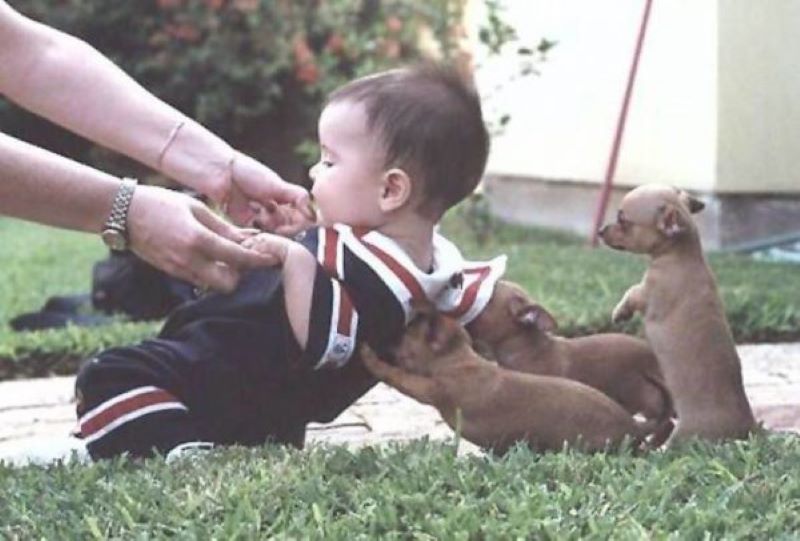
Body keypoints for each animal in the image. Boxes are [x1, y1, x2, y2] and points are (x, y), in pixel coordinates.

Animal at [360, 306, 652, 454]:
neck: (457, 358)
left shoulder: (430, 388)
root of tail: (633, 426)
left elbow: (396, 375)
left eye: (404, 333)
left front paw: (369, 357)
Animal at [600, 181, 756, 442]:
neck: (680, 254)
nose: (601, 230)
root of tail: (748, 427)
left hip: (685, 433)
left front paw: (620, 312)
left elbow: (632, 292)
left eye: (622, 220)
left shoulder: (647, 293)